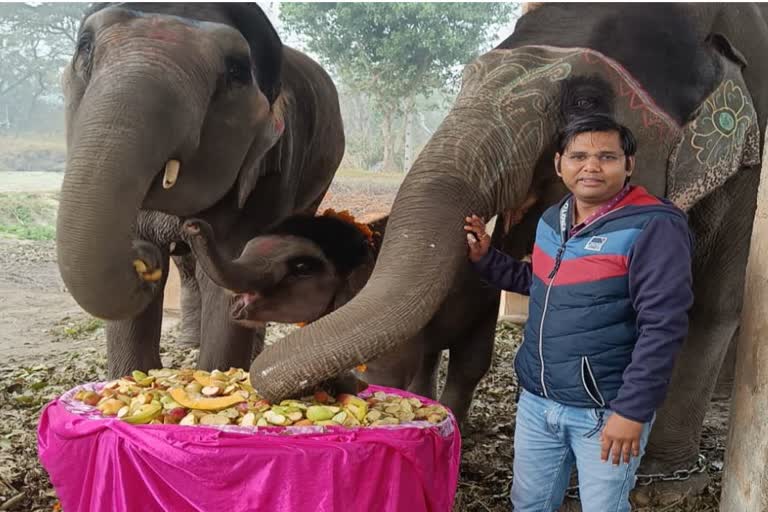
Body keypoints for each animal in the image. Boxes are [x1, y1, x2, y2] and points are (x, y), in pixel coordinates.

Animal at [58, 2, 346, 378]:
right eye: (85, 46)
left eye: (237, 70)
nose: (144, 262)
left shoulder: (270, 173)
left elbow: (228, 274)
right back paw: (189, 340)